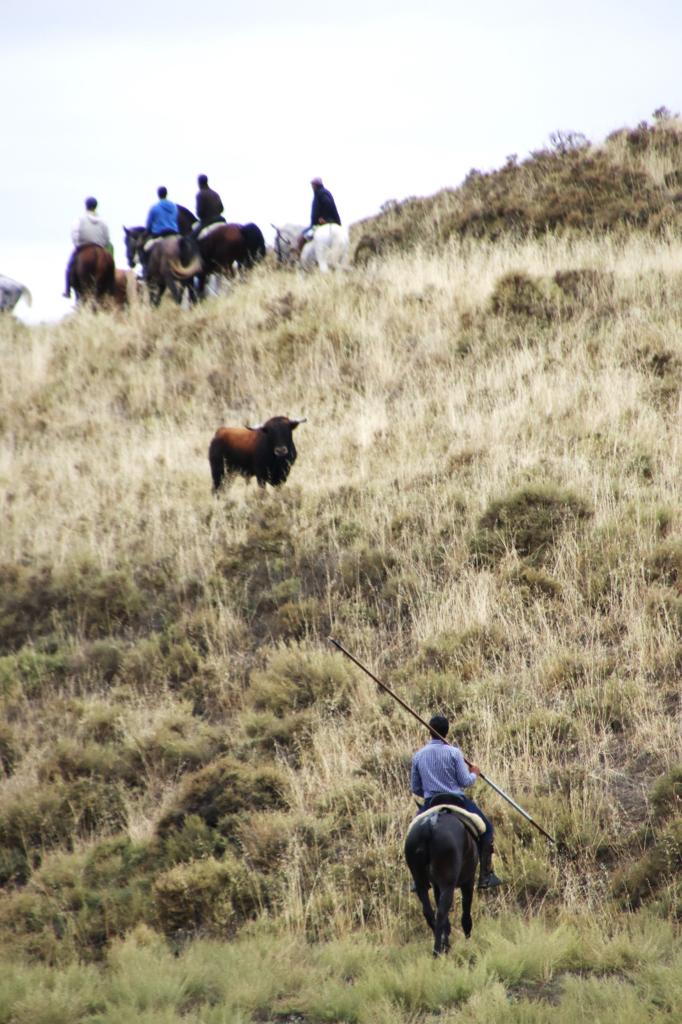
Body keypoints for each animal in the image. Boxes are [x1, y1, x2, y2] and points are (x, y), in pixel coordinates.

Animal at [403, 806, 477, 958]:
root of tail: (430, 826)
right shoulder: (468, 881)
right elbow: (466, 913)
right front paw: (468, 941)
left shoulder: (437, 886)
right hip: (448, 885)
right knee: (441, 913)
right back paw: (437, 950)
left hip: (420, 882)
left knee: (429, 912)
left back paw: (441, 947)